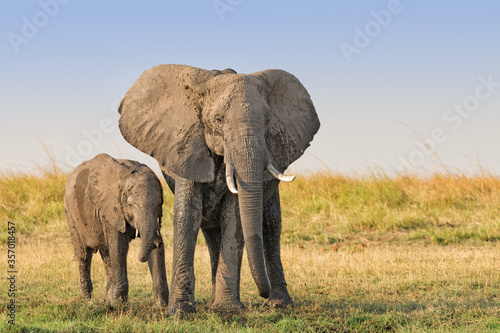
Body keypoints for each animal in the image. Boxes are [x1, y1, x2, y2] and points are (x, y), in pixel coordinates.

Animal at [64, 152, 169, 304]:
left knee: (107, 254)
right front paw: (119, 304)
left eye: (160, 204)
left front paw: (161, 306)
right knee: (84, 254)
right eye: (129, 204)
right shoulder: (111, 209)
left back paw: (107, 300)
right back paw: (86, 300)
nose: (140, 258)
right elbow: (119, 247)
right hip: (71, 213)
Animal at [119, 64, 318, 314]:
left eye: (267, 121)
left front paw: (227, 310)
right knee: (211, 231)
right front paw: (180, 312)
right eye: (218, 119)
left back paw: (278, 303)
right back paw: (214, 303)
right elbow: (187, 215)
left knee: (271, 223)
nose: (261, 293)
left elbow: (234, 216)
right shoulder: (187, 147)